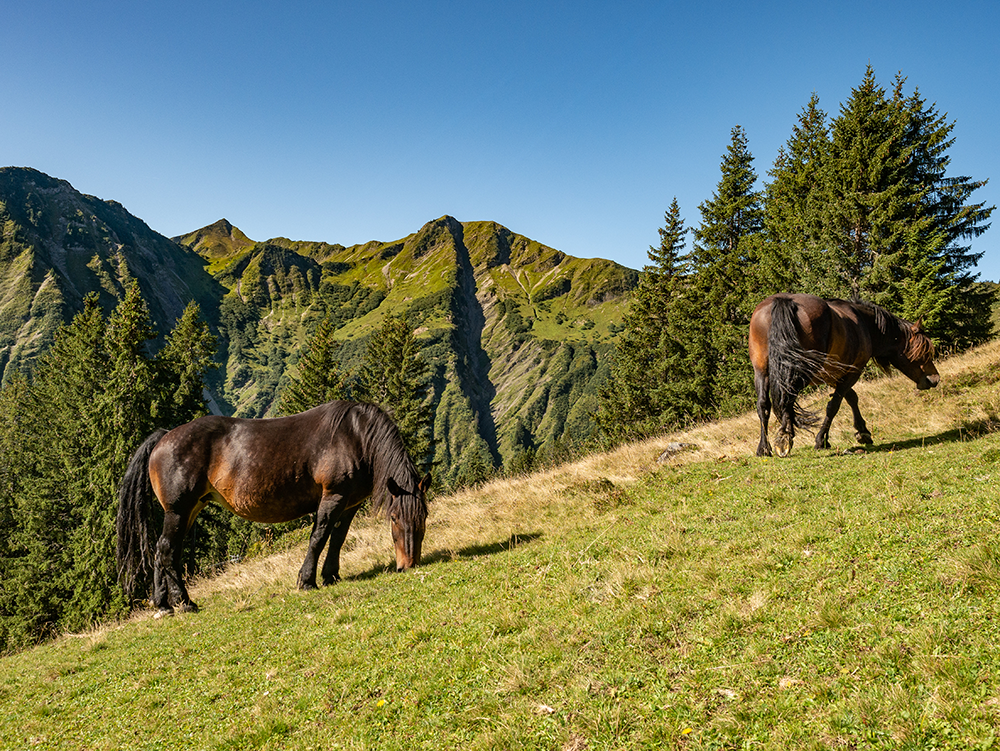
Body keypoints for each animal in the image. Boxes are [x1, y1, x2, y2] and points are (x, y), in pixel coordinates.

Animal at [117, 402, 430, 620]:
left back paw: (163, 604)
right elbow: (319, 536)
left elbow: (337, 540)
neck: (355, 436)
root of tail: (164, 437)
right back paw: (185, 602)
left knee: (162, 551)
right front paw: (307, 581)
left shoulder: (349, 504)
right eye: (394, 517)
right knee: (168, 550)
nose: (408, 565)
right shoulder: (333, 497)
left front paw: (331, 576)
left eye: (423, 517)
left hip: (191, 508)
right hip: (179, 511)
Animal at [748, 294, 940, 458]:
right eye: (923, 352)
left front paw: (862, 431)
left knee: (764, 405)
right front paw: (822, 440)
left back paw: (764, 447)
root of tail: (784, 301)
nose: (935, 379)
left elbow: (851, 398)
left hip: (762, 371)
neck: (865, 325)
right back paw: (784, 437)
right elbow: (834, 405)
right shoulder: (853, 371)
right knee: (787, 398)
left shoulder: (835, 375)